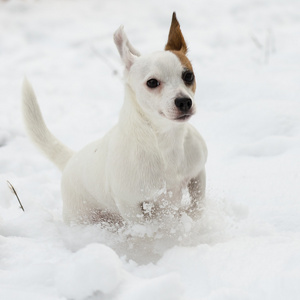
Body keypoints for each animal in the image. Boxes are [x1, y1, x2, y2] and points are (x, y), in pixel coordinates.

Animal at [22, 12, 207, 225]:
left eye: (188, 76)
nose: (184, 102)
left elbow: (197, 207)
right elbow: (147, 228)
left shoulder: (198, 174)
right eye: (152, 82)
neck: (166, 140)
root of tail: (71, 158)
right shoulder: (130, 203)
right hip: (82, 217)